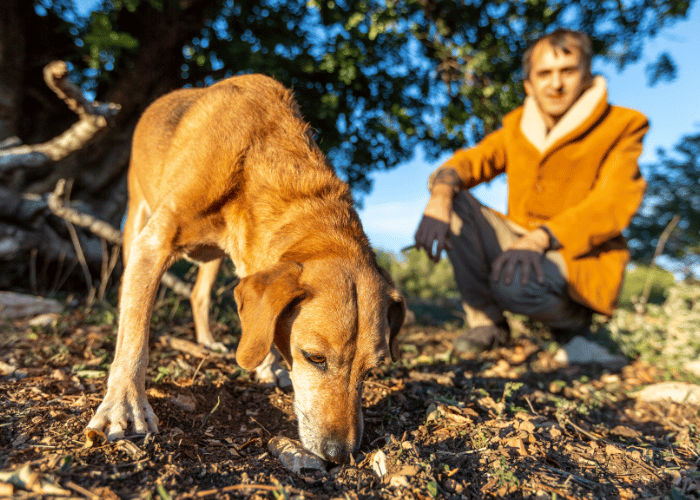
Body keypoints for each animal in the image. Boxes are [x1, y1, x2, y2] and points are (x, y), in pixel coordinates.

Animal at [85, 72, 408, 462]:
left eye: (371, 370)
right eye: (314, 358)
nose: (339, 454)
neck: (256, 158)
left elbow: (261, 324)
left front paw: (268, 366)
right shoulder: (154, 243)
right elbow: (135, 335)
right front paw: (124, 404)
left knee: (199, 295)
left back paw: (208, 341)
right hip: (136, 216)